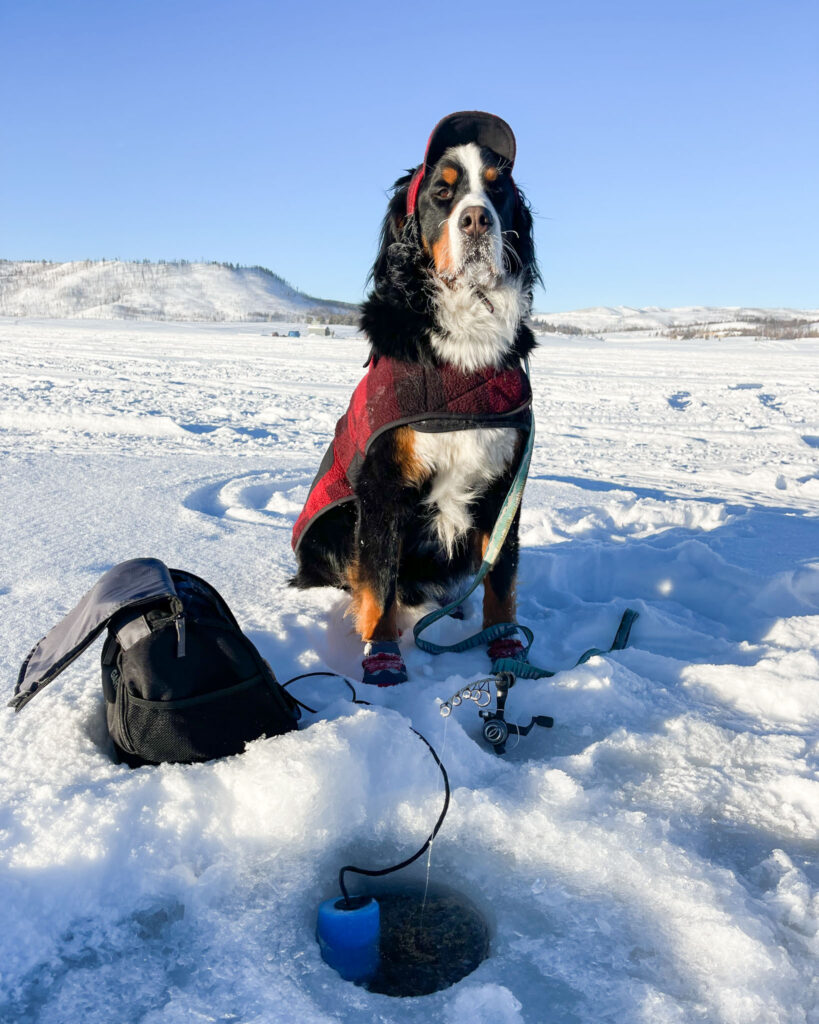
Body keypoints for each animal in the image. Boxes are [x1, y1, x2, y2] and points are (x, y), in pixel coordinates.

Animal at [290, 112, 540, 684]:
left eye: (497, 189)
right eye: (442, 193)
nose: (476, 221)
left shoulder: (506, 483)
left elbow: (502, 580)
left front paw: (505, 649)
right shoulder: (382, 484)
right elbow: (378, 581)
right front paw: (383, 660)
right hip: (334, 520)